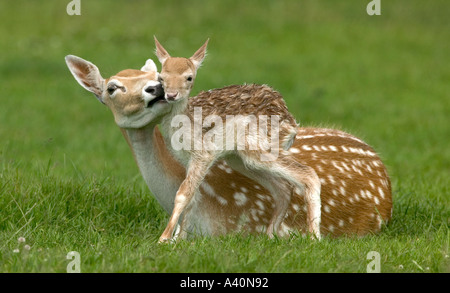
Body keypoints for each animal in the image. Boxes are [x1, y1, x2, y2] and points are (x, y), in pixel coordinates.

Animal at [65, 55, 392, 242]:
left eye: (153, 78)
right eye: (112, 88)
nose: (156, 90)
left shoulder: (203, 156)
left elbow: (185, 192)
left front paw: (164, 239)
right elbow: (190, 194)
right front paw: (176, 239)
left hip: (256, 152)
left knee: (305, 176)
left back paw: (311, 237)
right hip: (243, 159)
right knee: (283, 186)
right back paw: (275, 235)